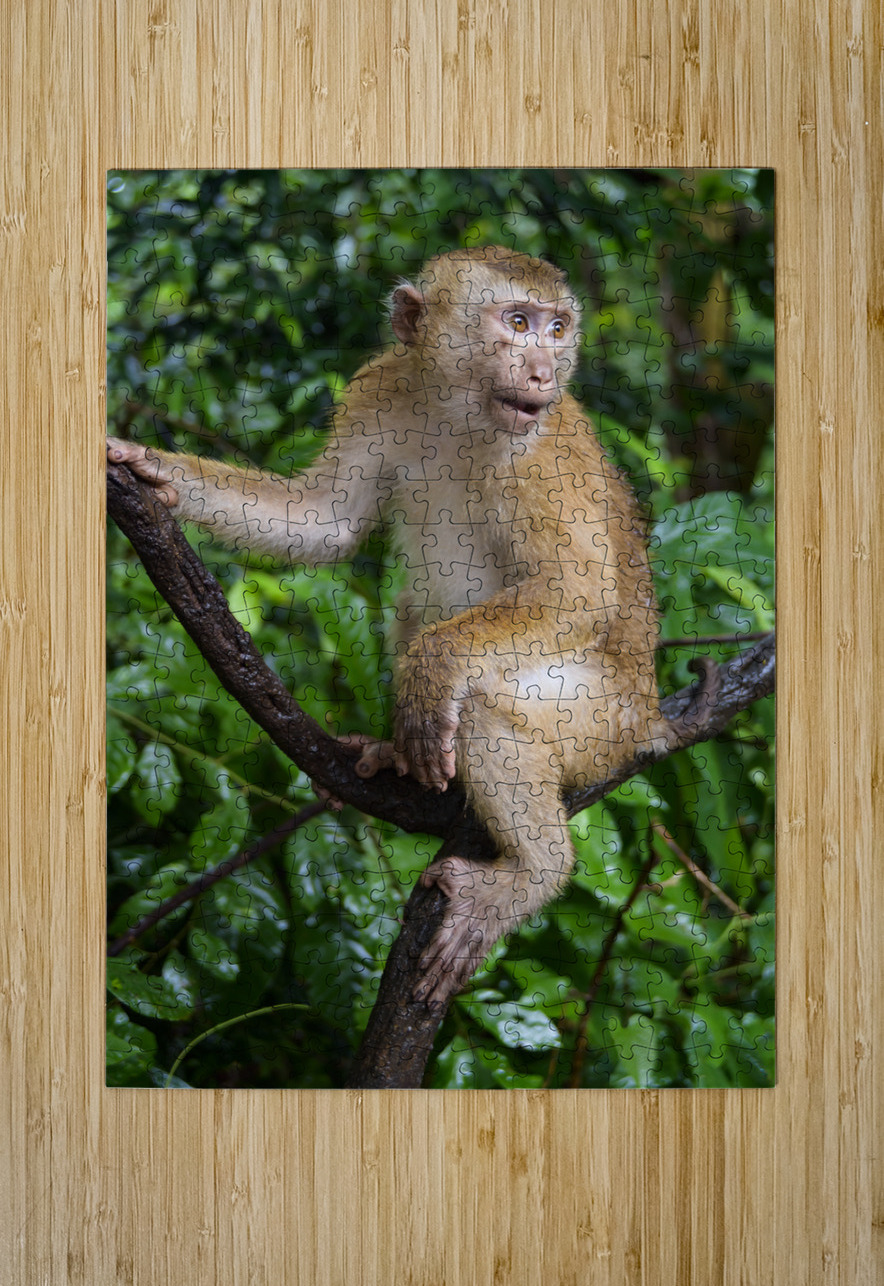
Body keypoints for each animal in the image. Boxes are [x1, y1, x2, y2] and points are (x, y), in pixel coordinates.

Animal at [108, 244, 697, 1011]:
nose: (544, 370)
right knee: (415, 607)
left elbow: (579, 590)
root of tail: (649, 715)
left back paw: (534, 871)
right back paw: (403, 758)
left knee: (484, 706)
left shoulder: (543, 452)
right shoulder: (383, 388)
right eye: (517, 322)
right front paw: (155, 468)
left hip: (600, 724)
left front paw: (430, 673)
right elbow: (323, 520)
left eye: (557, 327)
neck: (460, 410)